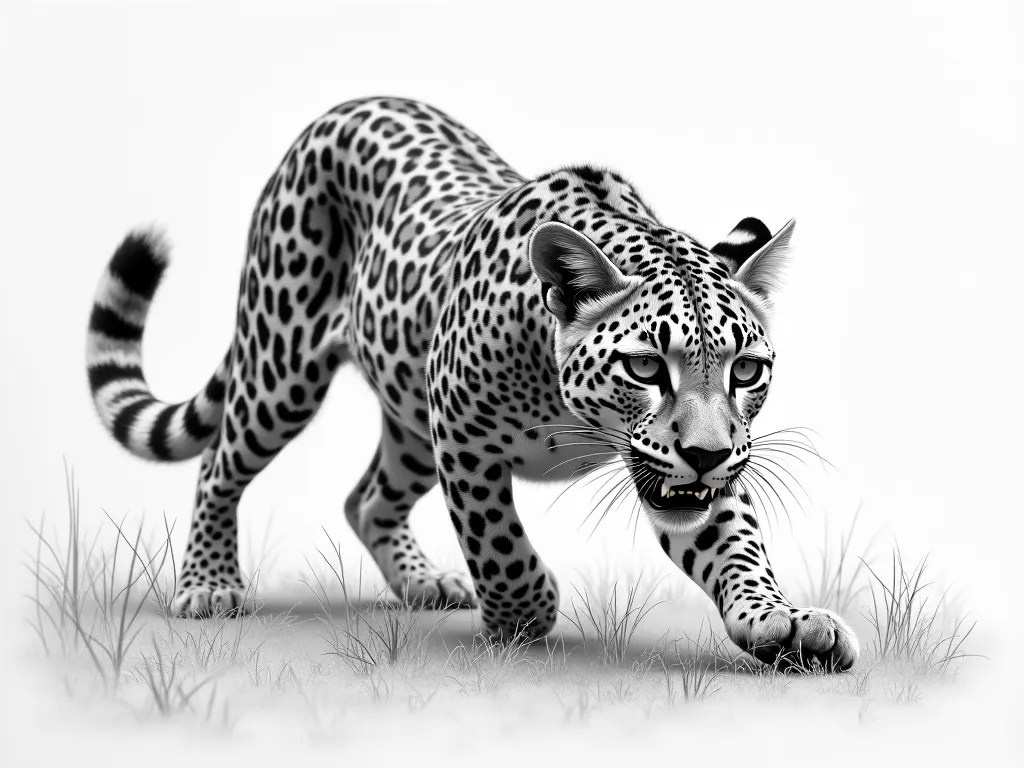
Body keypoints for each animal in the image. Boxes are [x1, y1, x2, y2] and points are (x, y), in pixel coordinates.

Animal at [86, 96, 858, 671]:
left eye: (745, 370)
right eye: (645, 367)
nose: (703, 454)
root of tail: (343, 107)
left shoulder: (708, 468)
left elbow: (736, 545)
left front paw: (783, 622)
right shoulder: (463, 434)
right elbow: (497, 537)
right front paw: (524, 611)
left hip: (405, 416)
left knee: (367, 497)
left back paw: (425, 582)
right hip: (282, 366)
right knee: (220, 462)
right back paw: (209, 585)